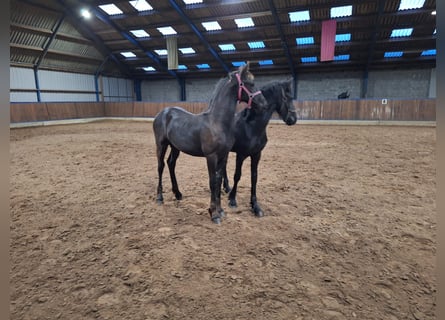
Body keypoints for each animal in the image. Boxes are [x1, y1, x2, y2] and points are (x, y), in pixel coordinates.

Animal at [153, 63, 268, 224]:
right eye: (249, 83)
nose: (264, 104)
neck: (217, 122)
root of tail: (163, 113)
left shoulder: (223, 156)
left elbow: (219, 181)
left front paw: (220, 210)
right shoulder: (211, 156)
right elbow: (213, 182)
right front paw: (214, 213)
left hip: (175, 147)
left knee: (171, 164)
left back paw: (178, 193)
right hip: (161, 145)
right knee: (161, 166)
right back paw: (159, 197)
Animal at [220, 79, 296, 216]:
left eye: (292, 97)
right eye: (285, 98)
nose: (293, 119)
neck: (251, 127)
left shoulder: (257, 154)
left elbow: (254, 177)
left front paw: (255, 206)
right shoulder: (241, 154)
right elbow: (237, 175)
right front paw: (232, 200)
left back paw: (226, 187)